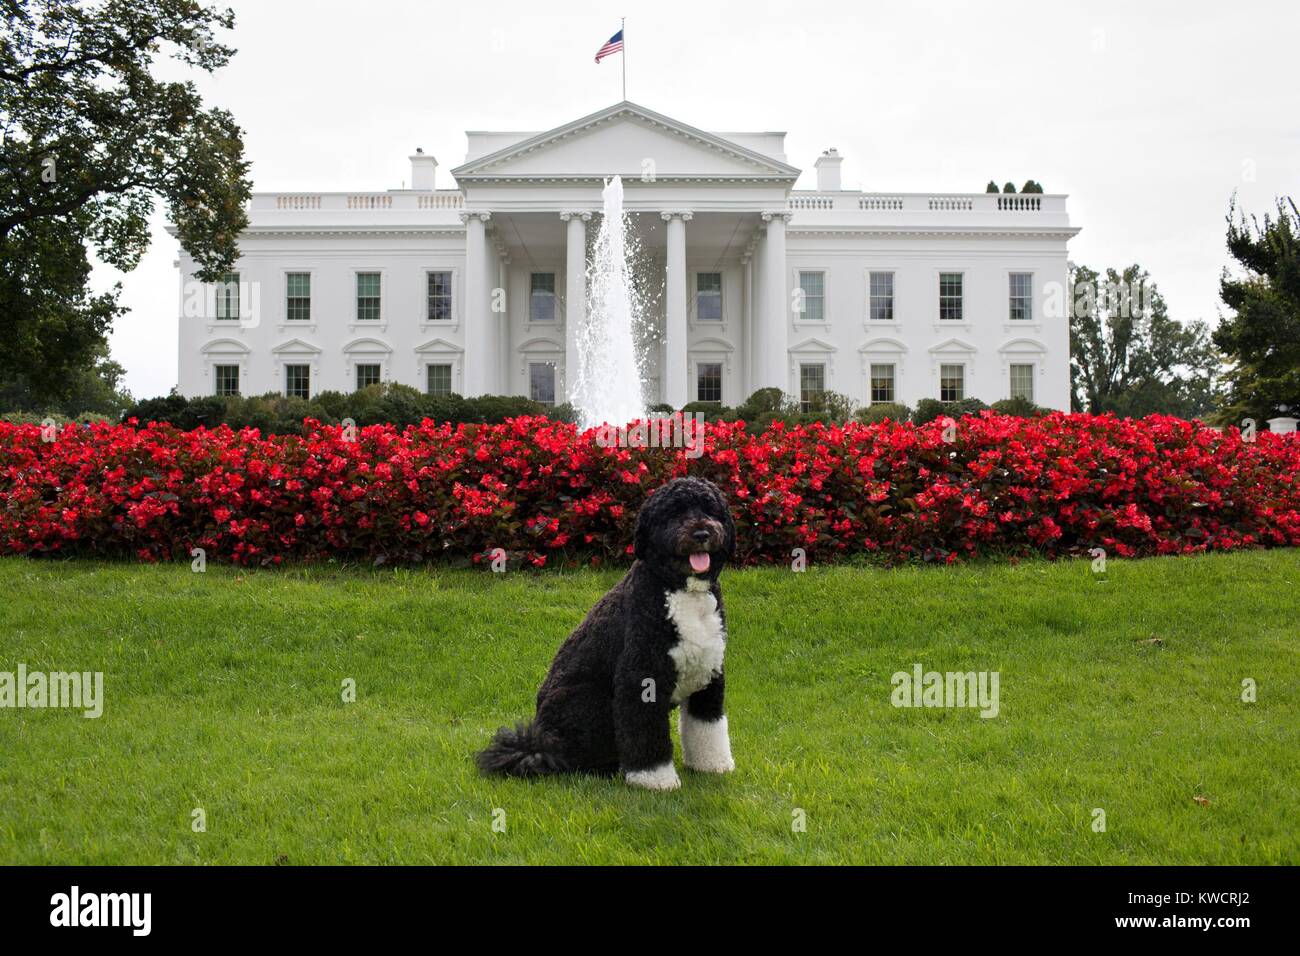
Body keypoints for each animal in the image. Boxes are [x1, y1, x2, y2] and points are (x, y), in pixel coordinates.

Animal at [480, 476, 743, 790]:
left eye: (710, 509)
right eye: (674, 513)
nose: (702, 532)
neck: (681, 591)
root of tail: (539, 742)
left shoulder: (709, 674)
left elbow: (708, 726)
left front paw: (712, 765)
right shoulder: (641, 678)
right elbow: (644, 734)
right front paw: (654, 780)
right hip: (589, 702)